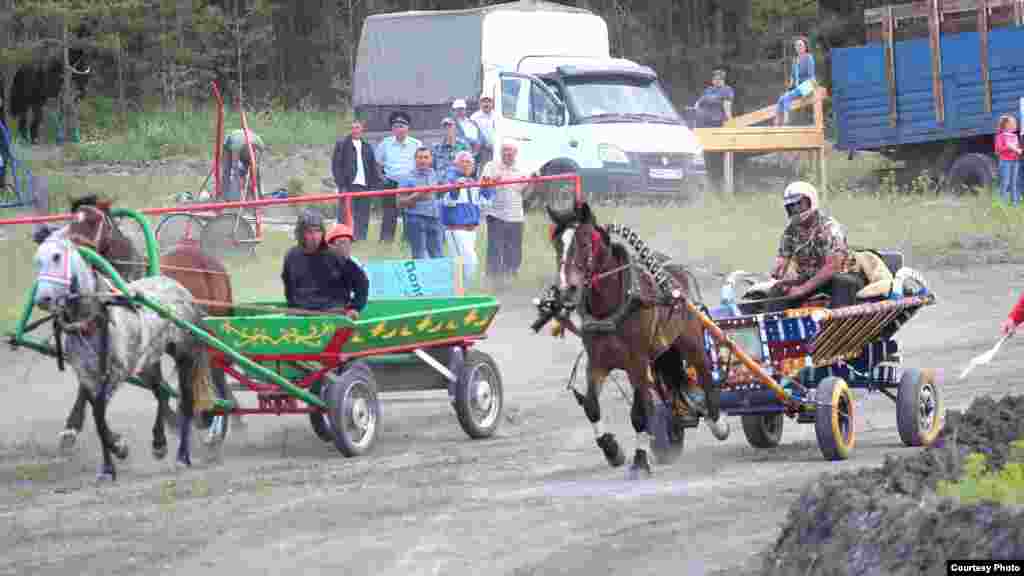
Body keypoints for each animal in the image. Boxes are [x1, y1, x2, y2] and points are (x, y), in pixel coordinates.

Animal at [33, 230, 207, 477]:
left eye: (56, 256)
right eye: (37, 260)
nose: (42, 299)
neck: (92, 320)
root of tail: (177, 286)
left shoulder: (116, 373)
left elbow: (98, 414)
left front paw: (119, 447)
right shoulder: (87, 374)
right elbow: (97, 417)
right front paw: (109, 466)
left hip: (185, 355)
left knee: (187, 402)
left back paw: (183, 456)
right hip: (148, 362)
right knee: (161, 392)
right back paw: (159, 443)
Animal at [58, 196, 240, 453]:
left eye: (93, 221)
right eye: (72, 222)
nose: (74, 253)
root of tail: (212, 262)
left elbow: (157, 384)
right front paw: (71, 428)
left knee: (216, 370)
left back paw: (217, 422)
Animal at [544, 201, 729, 475]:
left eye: (585, 243)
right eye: (558, 245)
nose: (566, 289)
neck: (610, 305)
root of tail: (677, 273)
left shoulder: (637, 363)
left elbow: (640, 413)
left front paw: (640, 460)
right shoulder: (597, 362)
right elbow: (591, 406)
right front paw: (611, 449)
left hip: (690, 340)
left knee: (705, 374)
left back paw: (717, 422)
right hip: (659, 354)